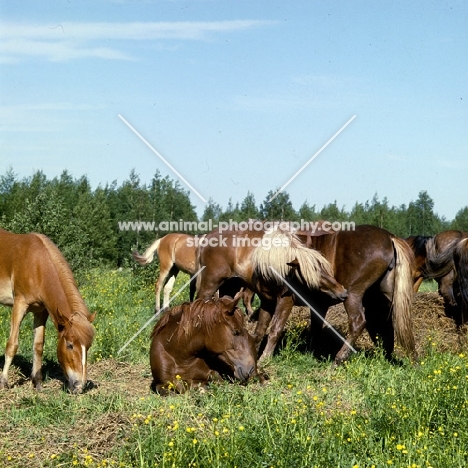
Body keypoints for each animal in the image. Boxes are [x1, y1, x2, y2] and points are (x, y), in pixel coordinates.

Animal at [0, 229, 95, 394]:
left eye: (88, 347)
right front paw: (4, 382)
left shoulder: (41, 311)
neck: (37, 265)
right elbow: (12, 344)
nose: (79, 386)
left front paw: (37, 383)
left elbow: (38, 346)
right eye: (70, 345)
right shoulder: (19, 304)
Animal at [196, 227, 350, 362]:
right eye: (313, 273)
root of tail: (207, 237)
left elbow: (259, 332)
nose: (343, 292)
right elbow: (275, 330)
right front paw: (265, 359)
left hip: (229, 289)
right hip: (210, 285)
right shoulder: (285, 300)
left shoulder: (267, 301)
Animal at [292, 225, 416, 364]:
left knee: (358, 322)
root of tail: (390, 237)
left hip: (353, 294)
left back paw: (339, 358)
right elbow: (315, 328)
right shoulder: (319, 304)